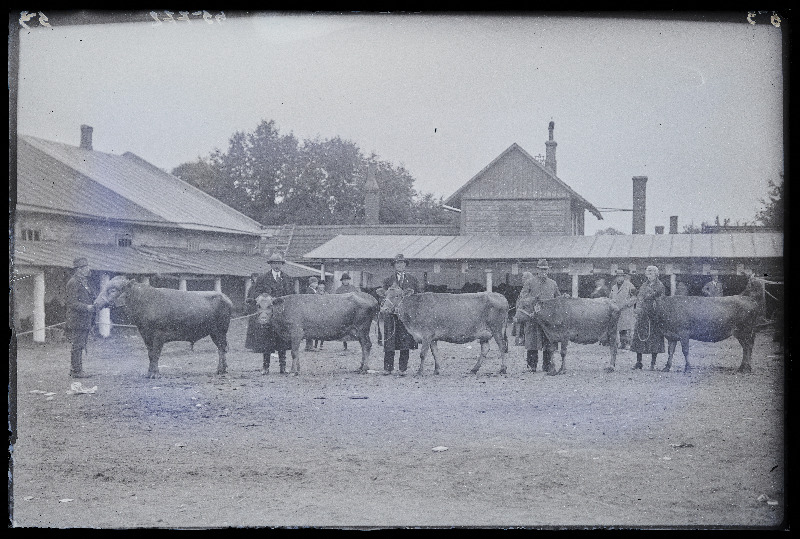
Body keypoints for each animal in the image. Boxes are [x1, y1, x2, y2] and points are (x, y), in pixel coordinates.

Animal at [93, 276, 233, 378]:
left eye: (113, 290)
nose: (95, 303)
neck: (144, 302)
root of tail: (224, 297)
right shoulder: (146, 335)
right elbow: (150, 354)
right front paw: (150, 372)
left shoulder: (158, 335)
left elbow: (156, 354)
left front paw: (154, 374)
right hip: (214, 332)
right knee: (221, 348)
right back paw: (222, 370)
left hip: (220, 331)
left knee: (222, 349)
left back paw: (221, 370)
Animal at [374, 286, 506, 376]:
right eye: (385, 295)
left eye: (397, 296)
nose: (384, 309)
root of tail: (500, 296)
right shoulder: (433, 338)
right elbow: (435, 353)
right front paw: (436, 370)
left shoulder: (426, 335)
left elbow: (423, 354)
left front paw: (419, 372)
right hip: (484, 334)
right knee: (485, 349)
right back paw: (474, 369)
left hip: (497, 329)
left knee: (502, 347)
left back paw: (503, 369)